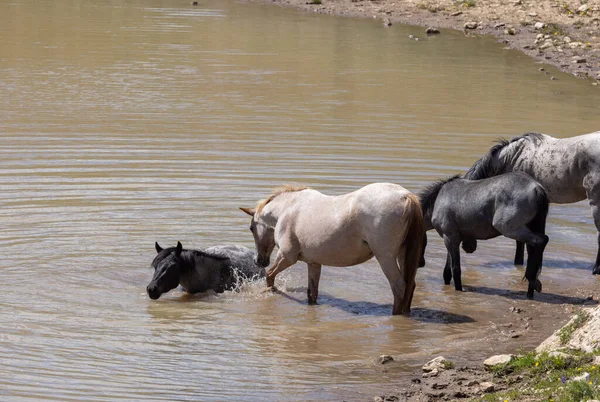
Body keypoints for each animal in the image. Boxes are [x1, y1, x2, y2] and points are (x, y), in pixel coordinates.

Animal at [418, 172, 548, 298]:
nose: (421, 264)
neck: (437, 200)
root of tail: (536, 187)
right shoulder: (452, 239)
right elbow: (447, 271)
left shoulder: (450, 238)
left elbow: (455, 270)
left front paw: (459, 290)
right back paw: (530, 290)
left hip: (508, 228)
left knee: (541, 240)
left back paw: (532, 279)